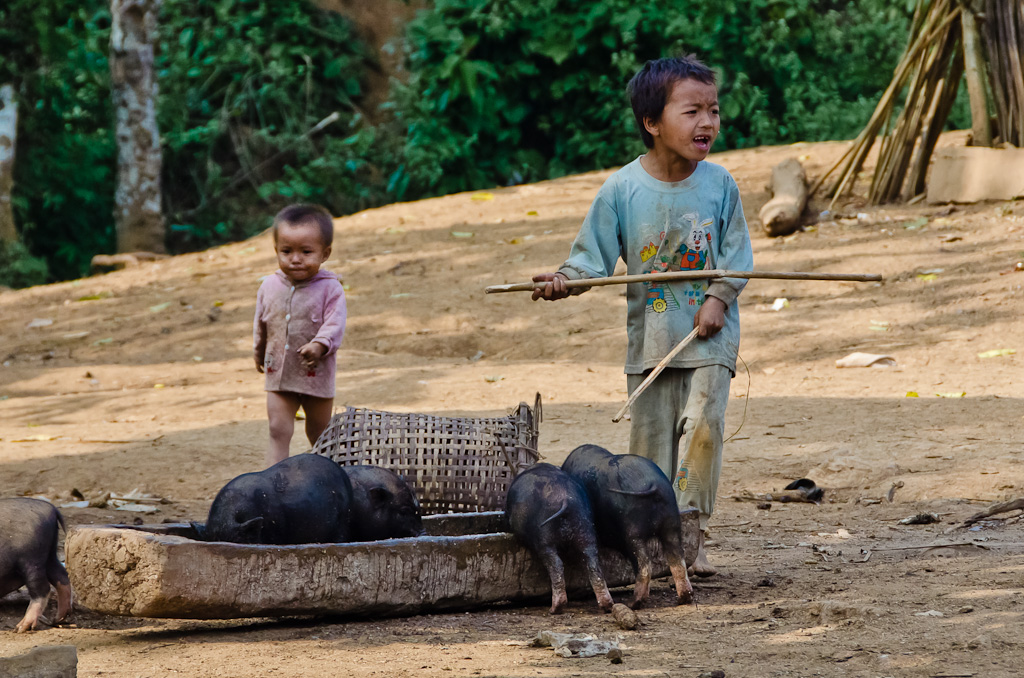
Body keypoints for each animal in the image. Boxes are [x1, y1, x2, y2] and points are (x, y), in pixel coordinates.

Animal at [0, 497, 73, 634]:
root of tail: (51, 508)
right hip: (49, 554)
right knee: (61, 575)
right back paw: (58, 619)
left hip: (31, 558)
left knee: (42, 589)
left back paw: (21, 628)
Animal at [501, 462, 610, 614]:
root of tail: (566, 500)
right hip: (585, 529)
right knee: (592, 560)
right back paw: (607, 605)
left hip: (544, 539)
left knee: (556, 564)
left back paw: (555, 608)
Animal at [561, 446, 696, 610]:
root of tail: (654, 484)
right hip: (672, 525)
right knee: (677, 559)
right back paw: (683, 598)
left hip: (633, 533)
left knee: (645, 564)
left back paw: (633, 603)